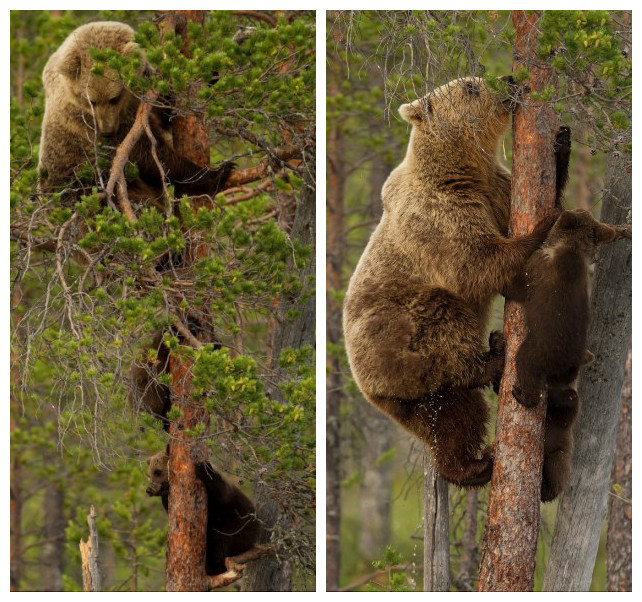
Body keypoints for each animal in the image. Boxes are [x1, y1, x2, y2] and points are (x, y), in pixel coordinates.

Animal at [38, 21, 232, 198]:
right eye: (91, 100)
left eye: (114, 98)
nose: (107, 131)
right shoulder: (86, 124)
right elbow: (149, 155)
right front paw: (217, 172)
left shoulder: (142, 93)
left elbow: (167, 110)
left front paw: (211, 72)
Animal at [342, 76, 568, 488]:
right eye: (471, 86)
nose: (507, 80)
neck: (461, 172)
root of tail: (371, 391)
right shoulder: (438, 216)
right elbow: (476, 264)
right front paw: (542, 227)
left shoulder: (494, 190)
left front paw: (561, 142)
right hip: (396, 336)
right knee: (443, 324)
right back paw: (493, 359)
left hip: (419, 402)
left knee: (456, 417)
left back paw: (471, 464)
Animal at [504, 209, 632, 500]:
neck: (571, 249)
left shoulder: (537, 270)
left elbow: (517, 285)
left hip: (540, 348)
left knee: (525, 362)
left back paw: (523, 394)